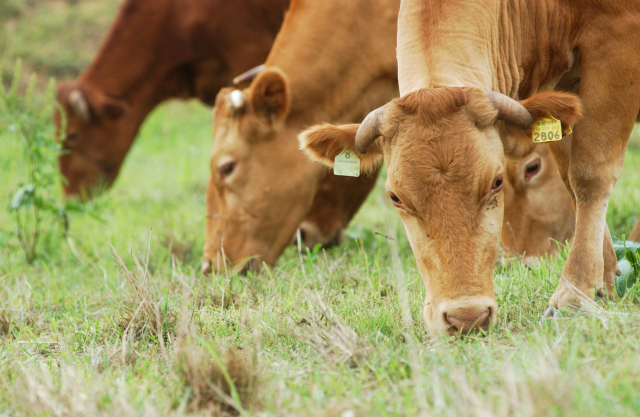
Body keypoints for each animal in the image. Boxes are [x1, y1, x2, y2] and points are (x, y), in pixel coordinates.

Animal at [300, 0, 640, 334]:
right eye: (395, 197)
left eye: (496, 182)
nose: (466, 318)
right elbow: (570, 182)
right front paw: (606, 281)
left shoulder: (614, 44)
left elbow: (590, 174)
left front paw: (575, 293)